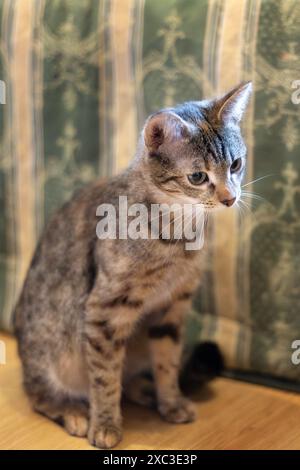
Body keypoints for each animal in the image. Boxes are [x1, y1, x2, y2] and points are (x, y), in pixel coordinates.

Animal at [14, 81, 253, 448]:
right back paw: (73, 411)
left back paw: (146, 390)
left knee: (133, 377)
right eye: (198, 176)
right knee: (38, 393)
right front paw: (105, 423)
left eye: (236, 164)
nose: (231, 198)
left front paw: (170, 401)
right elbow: (104, 377)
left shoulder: (172, 307)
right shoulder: (104, 312)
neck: (178, 236)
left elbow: (167, 363)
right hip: (50, 350)